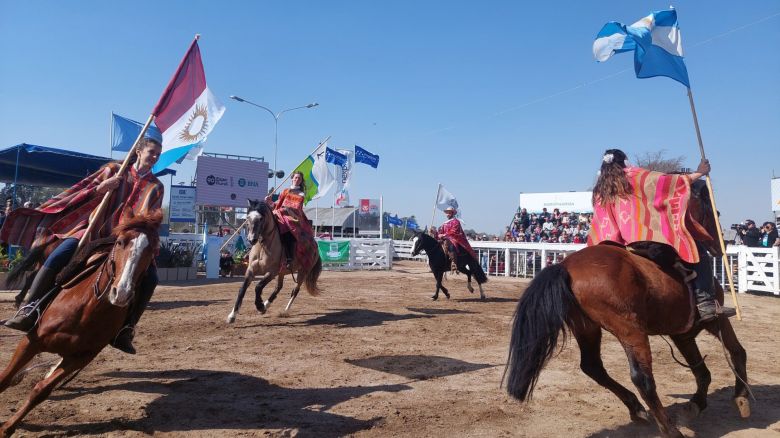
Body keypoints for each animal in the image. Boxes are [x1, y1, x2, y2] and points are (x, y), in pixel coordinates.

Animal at [0, 211, 160, 434]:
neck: (87, 310)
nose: (121, 293)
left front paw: (8, 427)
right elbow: (5, 377)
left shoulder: (81, 357)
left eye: (152, 249)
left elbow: (41, 390)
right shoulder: (31, 341)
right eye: (120, 242)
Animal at [506, 181, 748, 438]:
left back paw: (637, 408)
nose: (720, 244)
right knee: (642, 378)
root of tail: (565, 267)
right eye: (714, 213)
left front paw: (697, 403)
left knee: (593, 366)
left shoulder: (681, 334)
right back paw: (670, 429)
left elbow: (702, 371)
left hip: (587, 327)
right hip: (630, 329)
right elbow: (736, 352)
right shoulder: (715, 321)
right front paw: (740, 398)